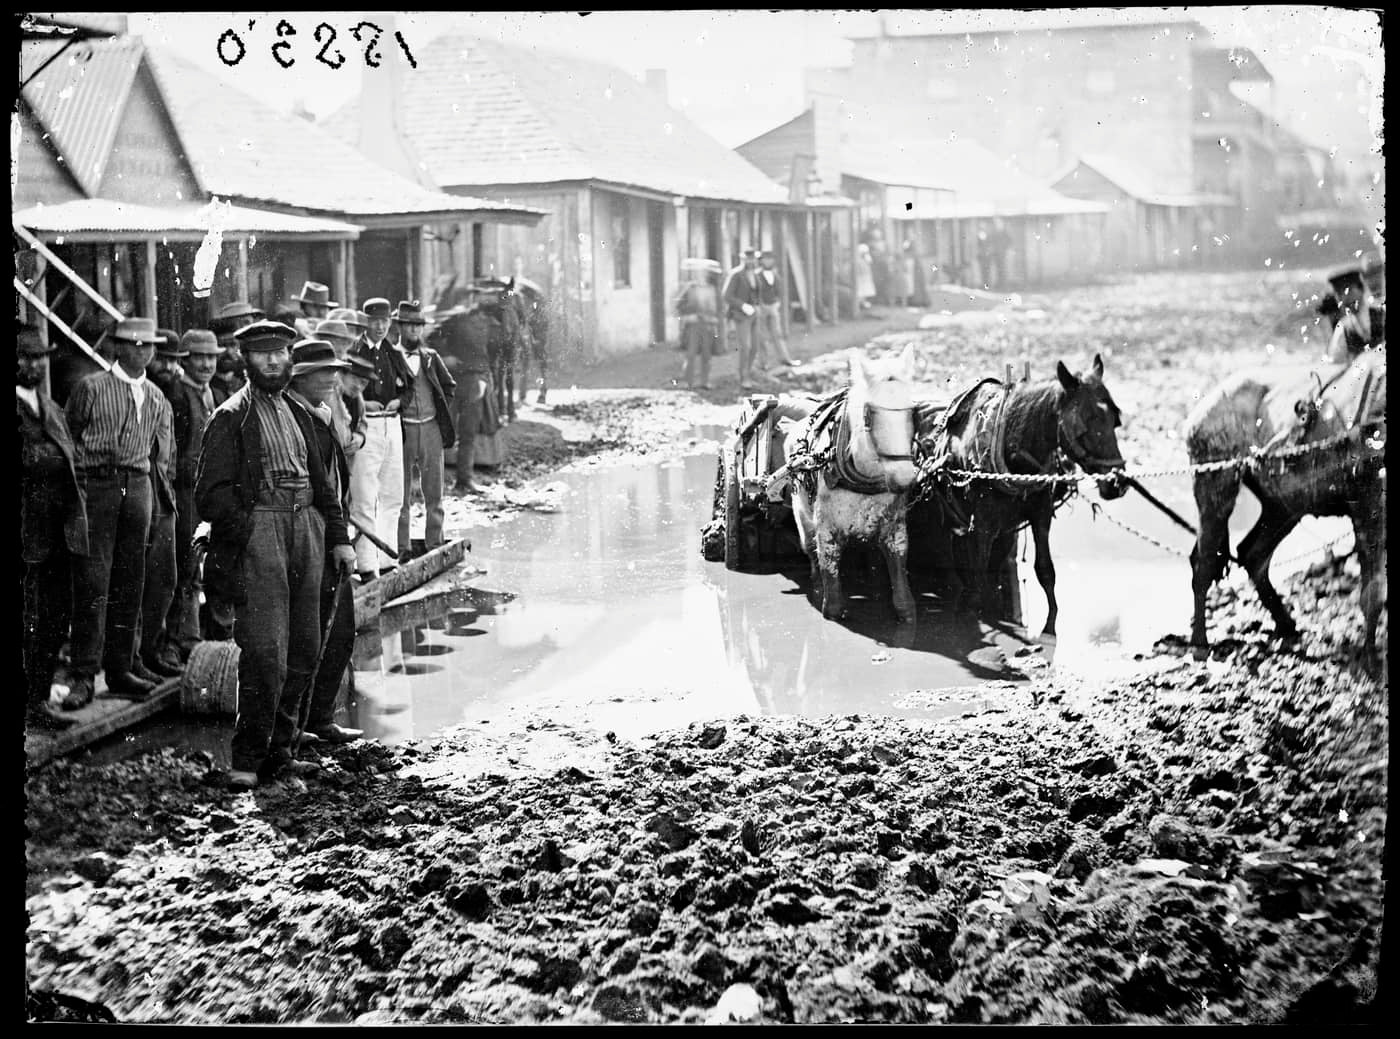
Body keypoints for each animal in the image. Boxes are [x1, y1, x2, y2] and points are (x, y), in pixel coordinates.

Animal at [789, 350, 918, 627]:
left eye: (912, 411)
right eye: (869, 413)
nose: (904, 478)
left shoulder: (895, 529)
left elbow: (903, 594)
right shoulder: (826, 530)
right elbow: (832, 601)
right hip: (802, 517)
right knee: (810, 551)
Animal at [918, 354, 1125, 638]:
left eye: (1115, 420)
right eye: (1085, 422)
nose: (1117, 483)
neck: (1010, 445)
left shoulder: (1040, 516)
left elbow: (1045, 571)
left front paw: (1050, 626)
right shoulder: (981, 527)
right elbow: (978, 580)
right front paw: (977, 623)